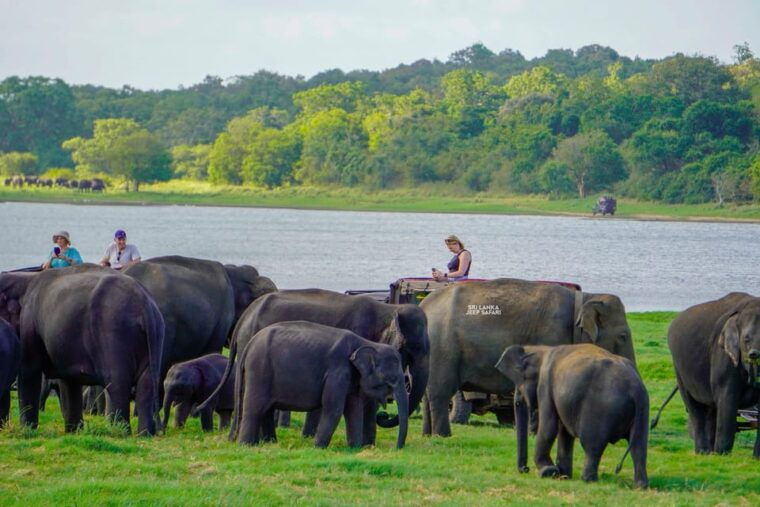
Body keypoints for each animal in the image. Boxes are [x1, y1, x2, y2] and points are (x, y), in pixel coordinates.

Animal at [0, 265, 164, 434]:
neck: (25, 277)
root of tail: (145, 307)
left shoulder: (29, 320)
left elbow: (29, 370)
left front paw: (27, 430)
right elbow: (69, 381)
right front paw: (74, 432)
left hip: (113, 331)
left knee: (117, 382)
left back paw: (120, 433)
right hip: (156, 334)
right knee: (146, 383)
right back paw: (145, 434)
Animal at [234, 321, 409, 448]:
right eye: (391, 379)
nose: (396, 448)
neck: (366, 342)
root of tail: (250, 343)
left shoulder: (351, 377)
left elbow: (354, 409)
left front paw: (354, 448)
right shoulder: (337, 371)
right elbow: (334, 408)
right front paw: (318, 447)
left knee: (267, 410)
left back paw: (269, 443)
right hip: (259, 370)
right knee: (255, 408)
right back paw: (246, 445)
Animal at [420, 278, 636, 437]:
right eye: (623, 336)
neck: (585, 298)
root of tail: (424, 304)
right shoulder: (551, 335)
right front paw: (537, 434)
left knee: (428, 393)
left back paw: (428, 435)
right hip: (443, 348)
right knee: (441, 391)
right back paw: (443, 435)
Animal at [495, 344, 649, 488]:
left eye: (519, 386)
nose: (525, 469)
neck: (541, 349)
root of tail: (635, 389)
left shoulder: (546, 385)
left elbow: (549, 427)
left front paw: (548, 471)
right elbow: (564, 432)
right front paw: (563, 476)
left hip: (600, 410)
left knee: (592, 445)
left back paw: (587, 480)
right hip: (642, 411)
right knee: (638, 446)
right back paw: (640, 486)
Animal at [668, 292, 760, 457]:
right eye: (746, 339)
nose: (754, 355)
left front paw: (756, 458)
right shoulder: (722, 355)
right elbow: (727, 399)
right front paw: (723, 455)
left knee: (711, 409)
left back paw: (710, 453)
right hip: (679, 368)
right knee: (695, 408)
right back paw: (704, 453)